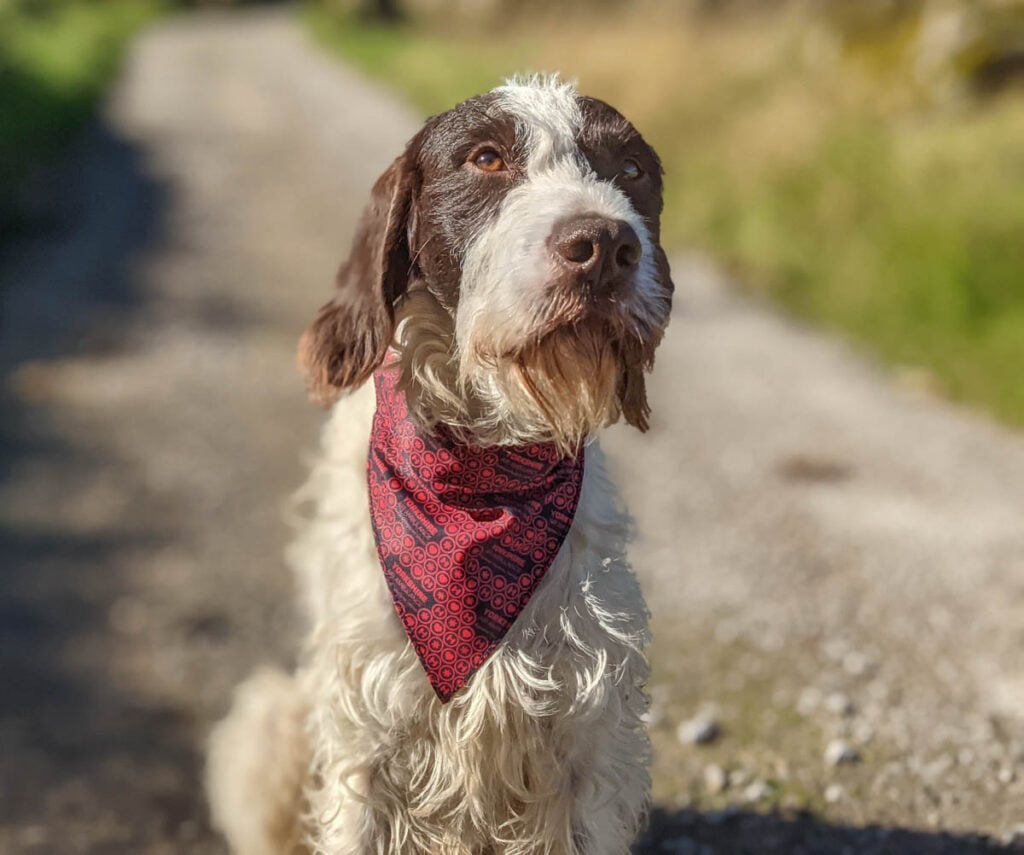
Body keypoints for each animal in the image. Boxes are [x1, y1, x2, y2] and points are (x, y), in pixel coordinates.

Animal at [204, 75, 675, 855]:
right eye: (486, 158)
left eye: (632, 170)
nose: (606, 244)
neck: (482, 467)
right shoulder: (367, 736)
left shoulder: (588, 737)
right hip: (273, 718)